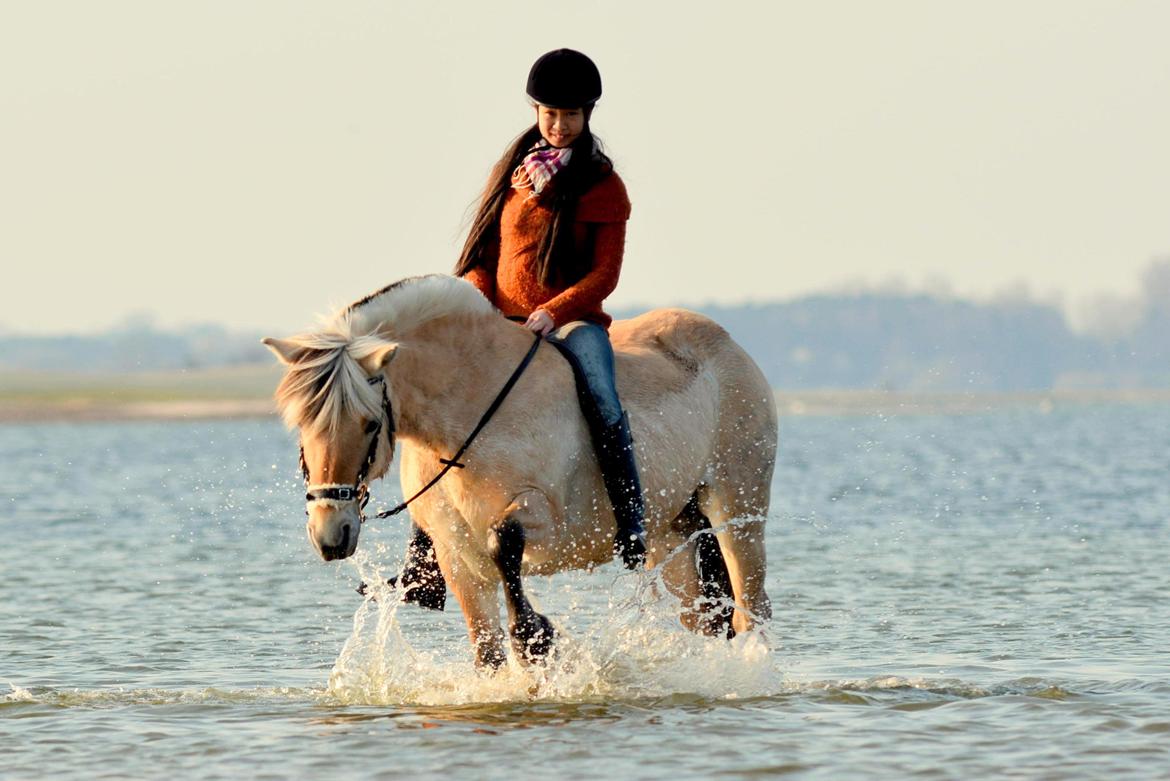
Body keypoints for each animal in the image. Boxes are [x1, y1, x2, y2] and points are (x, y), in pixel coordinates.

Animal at [265, 274, 776, 664]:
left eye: (370, 423)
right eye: (302, 426)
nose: (331, 535)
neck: (469, 406)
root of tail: (729, 345)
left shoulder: (546, 520)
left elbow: (503, 541)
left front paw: (535, 635)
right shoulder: (456, 558)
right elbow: (486, 650)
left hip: (737, 515)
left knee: (751, 608)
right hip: (671, 533)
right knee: (704, 619)